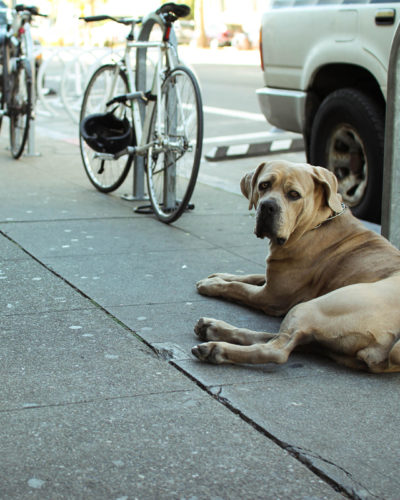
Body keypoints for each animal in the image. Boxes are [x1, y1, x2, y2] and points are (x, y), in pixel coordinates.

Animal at [192, 158, 400, 374]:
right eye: (263, 185)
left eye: (294, 194)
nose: (267, 206)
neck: (316, 225)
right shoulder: (274, 277)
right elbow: (252, 276)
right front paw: (218, 276)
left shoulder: (270, 296)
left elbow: (239, 288)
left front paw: (213, 285)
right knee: (277, 339)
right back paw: (213, 328)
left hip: (310, 308)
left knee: (276, 350)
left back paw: (216, 348)